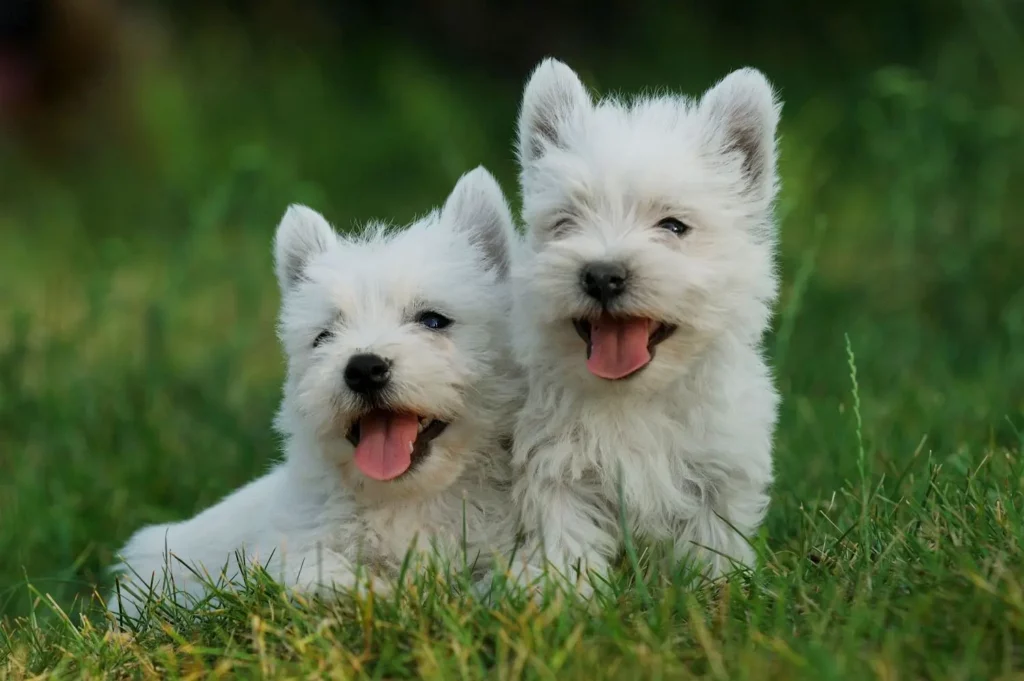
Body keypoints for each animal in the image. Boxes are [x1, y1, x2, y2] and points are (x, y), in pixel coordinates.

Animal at [111, 166, 524, 618]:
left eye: (433, 320)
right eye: (324, 336)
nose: (363, 369)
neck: (406, 498)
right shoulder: (295, 553)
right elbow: (326, 576)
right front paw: (379, 596)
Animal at [507, 58, 778, 589]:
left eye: (673, 226)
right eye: (566, 223)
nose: (602, 275)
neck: (633, 397)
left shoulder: (719, 471)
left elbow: (714, 542)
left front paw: (719, 590)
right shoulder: (555, 472)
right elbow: (565, 540)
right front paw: (566, 596)